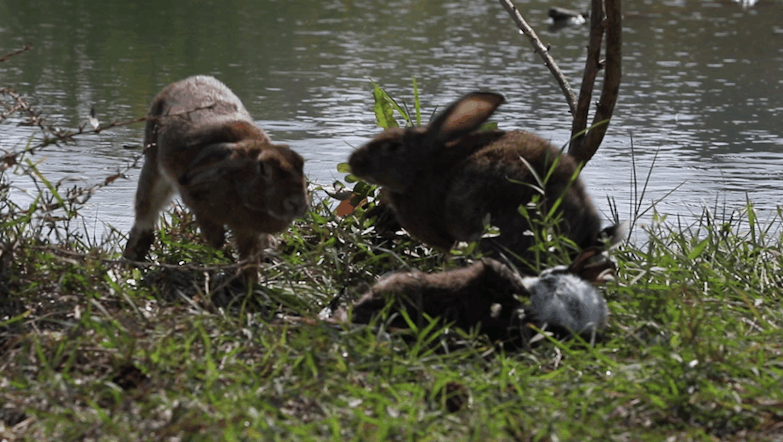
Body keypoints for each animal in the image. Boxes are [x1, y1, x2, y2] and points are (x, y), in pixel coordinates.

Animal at [123, 75, 310, 276]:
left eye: (301, 164)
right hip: (153, 167)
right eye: (263, 168)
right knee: (145, 214)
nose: (298, 205)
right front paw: (222, 262)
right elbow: (217, 241)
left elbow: (250, 257)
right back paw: (132, 258)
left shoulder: (247, 231)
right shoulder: (200, 209)